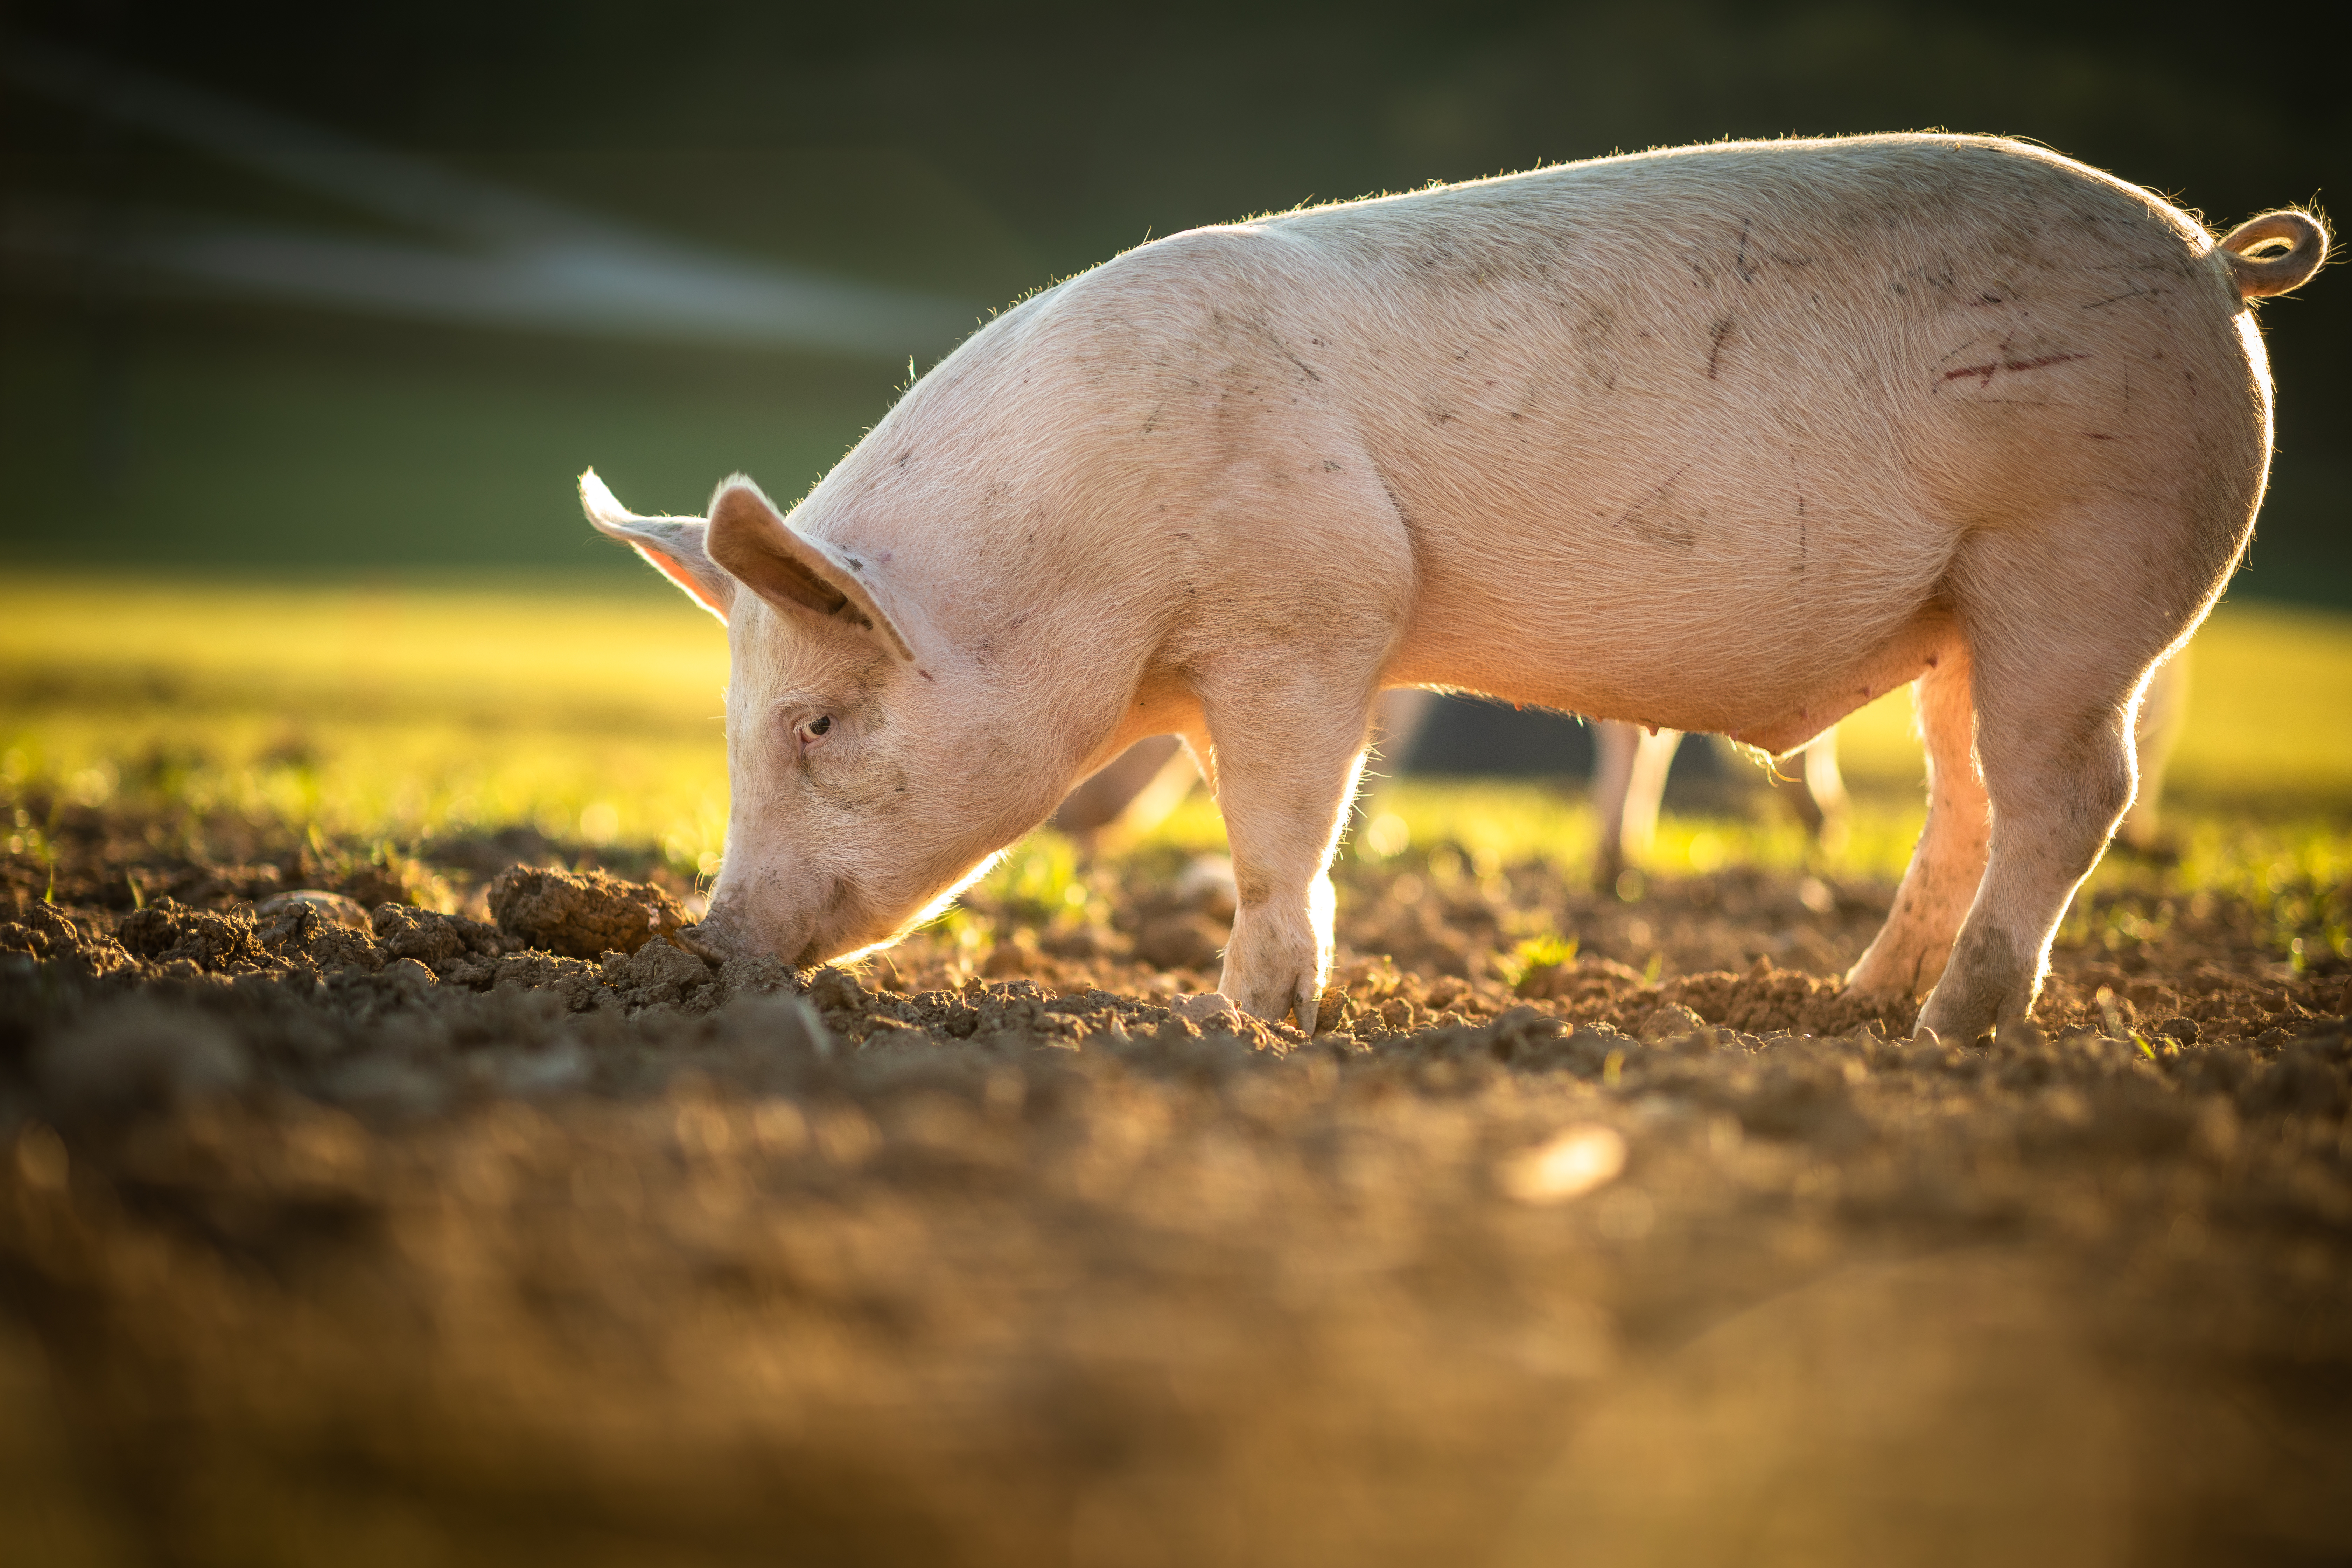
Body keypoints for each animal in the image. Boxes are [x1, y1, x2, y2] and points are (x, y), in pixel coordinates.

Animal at [581, 133, 2326, 1043]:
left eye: (816, 723)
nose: (710, 946)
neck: (1081, 556)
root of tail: (2211, 264)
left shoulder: (1309, 617)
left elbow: (1280, 830)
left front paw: (1242, 1019)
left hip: (2083, 570)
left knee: (2073, 794)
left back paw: (1951, 1029)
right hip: (1967, 618)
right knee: (1962, 800)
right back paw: (1852, 1000)